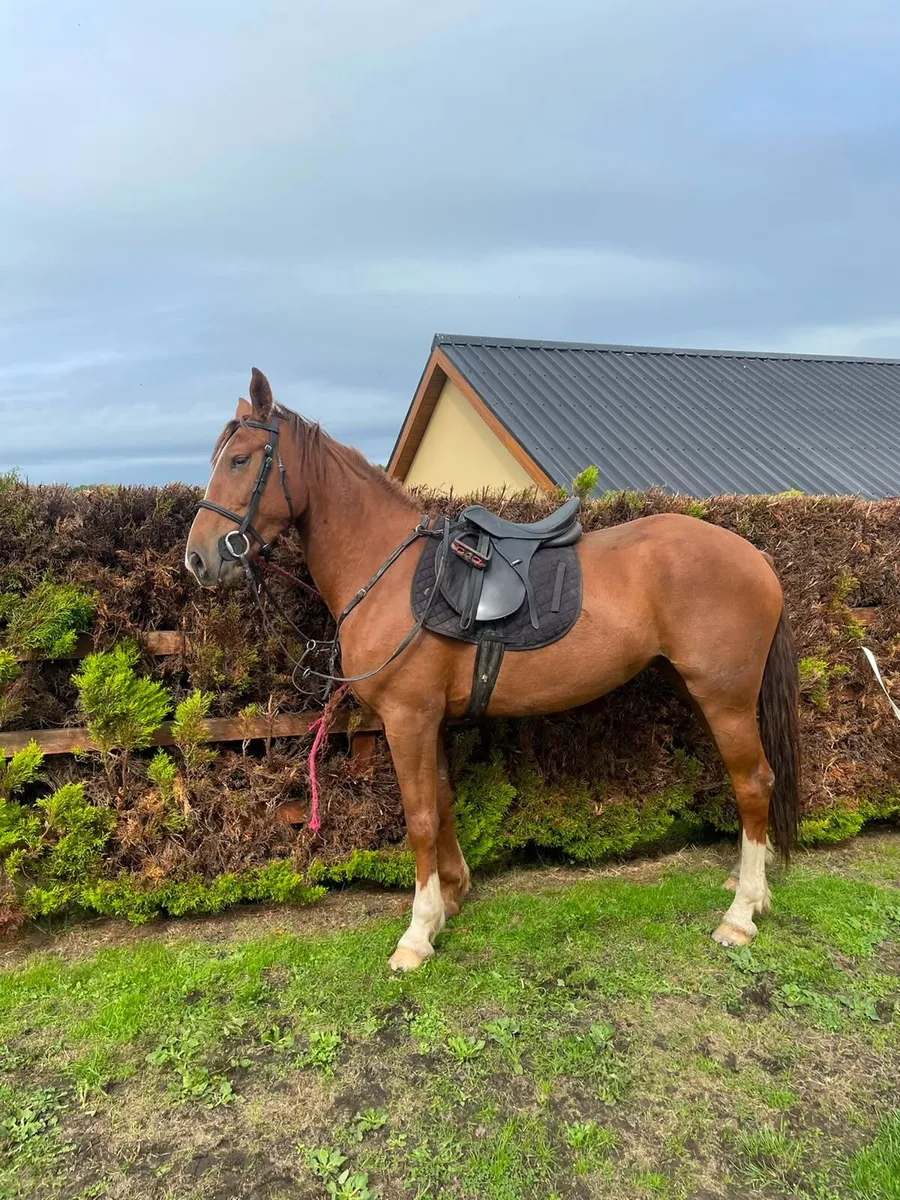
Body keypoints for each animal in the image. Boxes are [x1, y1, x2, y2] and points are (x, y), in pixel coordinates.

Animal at [185, 368, 800, 972]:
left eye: (240, 460)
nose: (198, 558)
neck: (388, 568)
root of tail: (756, 557)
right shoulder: (427, 721)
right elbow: (442, 803)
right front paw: (448, 900)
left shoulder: (408, 719)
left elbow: (419, 818)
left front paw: (417, 933)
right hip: (704, 692)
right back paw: (750, 889)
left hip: (725, 699)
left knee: (754, 783)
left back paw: (740, 915)